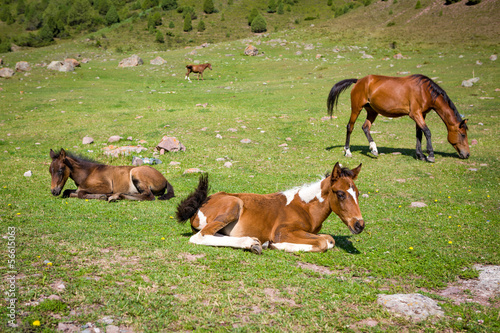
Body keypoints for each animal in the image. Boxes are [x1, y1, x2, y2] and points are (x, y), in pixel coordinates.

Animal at [176, 162, 364, 253]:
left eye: (358, 193)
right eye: (340, 194)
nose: (359, 225)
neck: (306, 208)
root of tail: (200, 204)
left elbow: (329, 239)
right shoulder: (283, 231)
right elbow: (322, 242)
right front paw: (275, 245)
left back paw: (254, 244)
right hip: (234, 204)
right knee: (200, 236)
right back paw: (252, 243)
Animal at [326, 75, 470, 163]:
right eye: (462, 134)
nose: (467, 154)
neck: (424, 91)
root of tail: (359, 81)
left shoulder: (421, 115)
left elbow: (419, 134)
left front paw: (420, 155)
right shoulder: (416, 114)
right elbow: (427, 132)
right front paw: (430, 155)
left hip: (372, 111)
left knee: (365, 127)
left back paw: (374, 149)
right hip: (356, 108)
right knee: (350, 127)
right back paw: (348, 151)